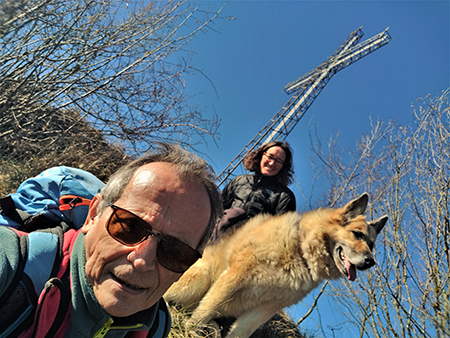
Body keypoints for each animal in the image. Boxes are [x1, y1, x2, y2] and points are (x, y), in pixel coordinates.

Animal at [165, 193, 386, 338]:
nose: (371, 262)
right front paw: (191, 330)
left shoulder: (266, 307)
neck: (299, 249)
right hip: (201, 276)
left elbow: (241, 332)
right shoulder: (235, 277)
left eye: (372, 245)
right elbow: (207, 308)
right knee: (170, 299)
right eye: (357, 234)